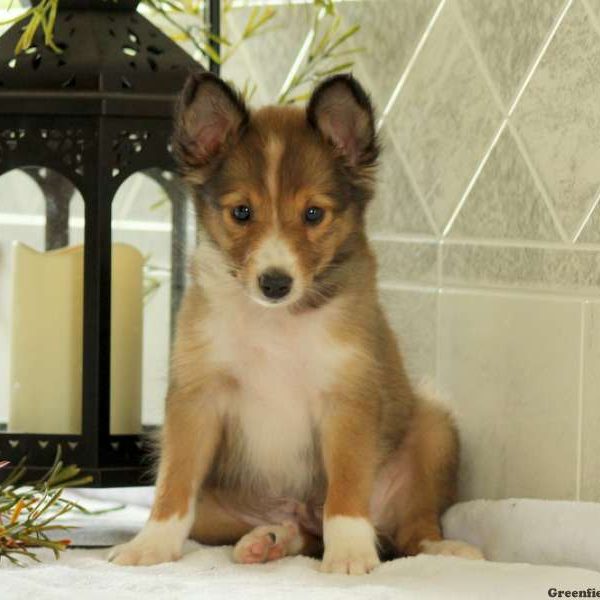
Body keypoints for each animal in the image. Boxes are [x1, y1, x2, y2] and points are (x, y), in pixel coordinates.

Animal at [108, 72, 482, 576]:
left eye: (313, 214)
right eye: (242, 212)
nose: (275, 283)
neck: (275, 323)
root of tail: (296, 507)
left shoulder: (347, 398)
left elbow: (346, 490)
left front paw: (350, 555)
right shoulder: (197, 397)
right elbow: (174, 485)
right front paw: (150, 545)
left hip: (435, 428)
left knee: (412, 530)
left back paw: (448, 549)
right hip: (216, 506)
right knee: (300, 533)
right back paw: (266, 539)